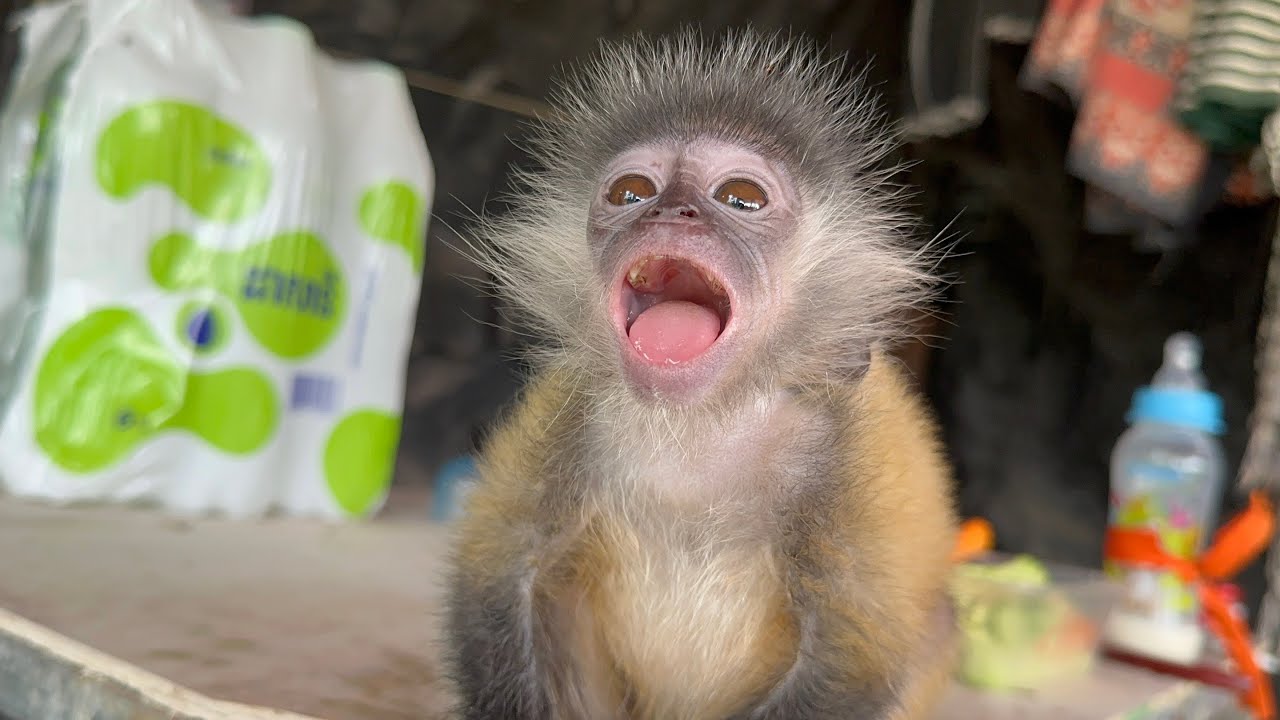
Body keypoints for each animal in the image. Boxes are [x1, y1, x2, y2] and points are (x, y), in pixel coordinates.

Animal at [443, 26, 960, 720]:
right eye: (630, 193)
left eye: (742, 198)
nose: (668, 214)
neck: (698, 424)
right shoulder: (568, 407)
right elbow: (499, 567)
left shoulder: (850, 446)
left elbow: (854, 649)